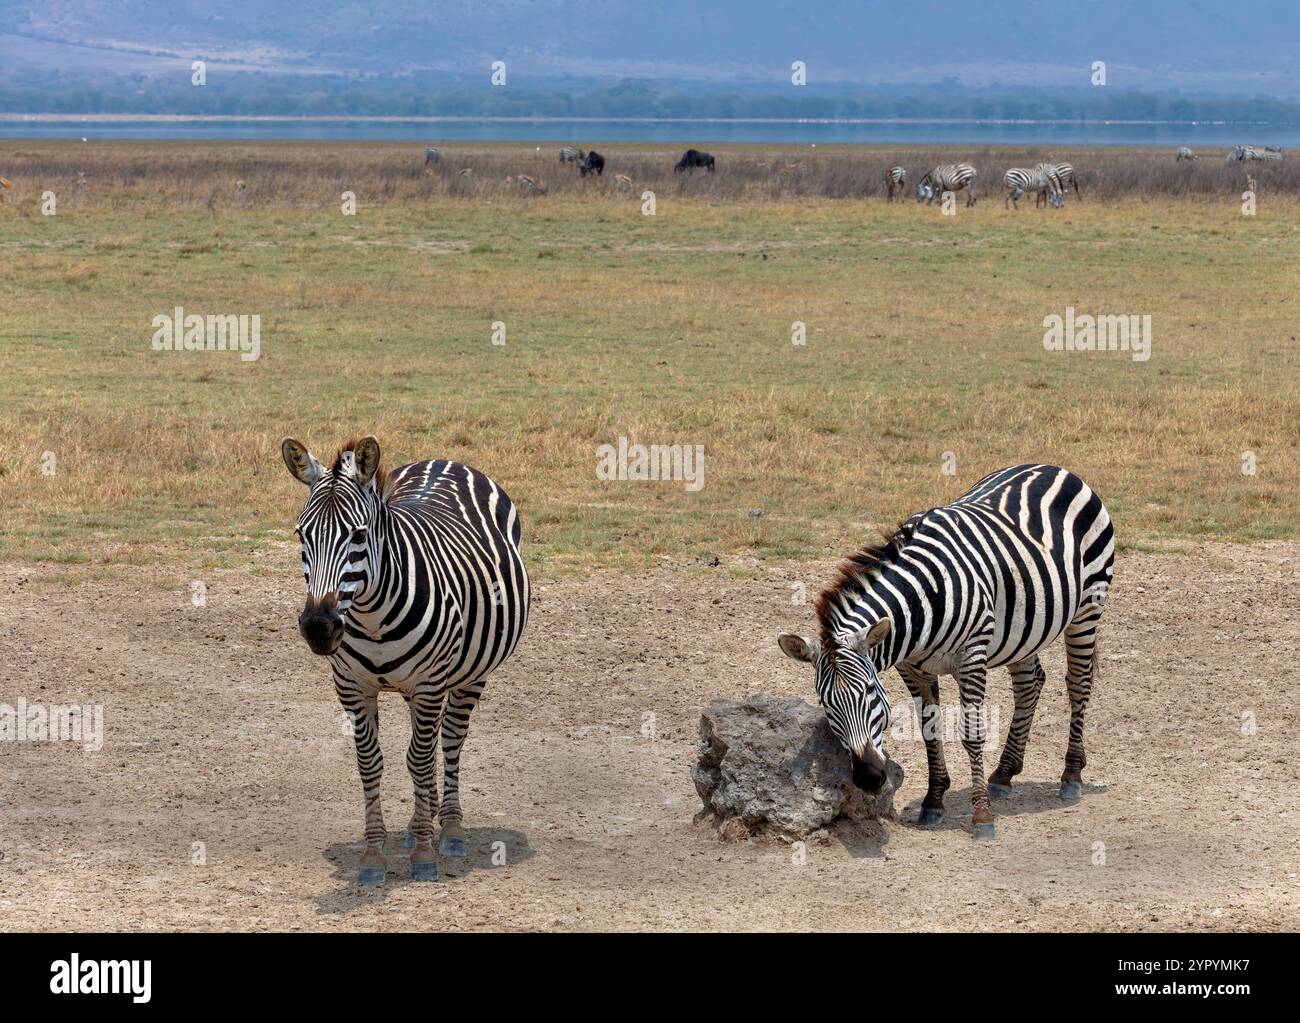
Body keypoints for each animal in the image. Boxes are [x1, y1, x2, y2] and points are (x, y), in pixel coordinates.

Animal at [282, 436, 530, 885]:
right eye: (301, 533)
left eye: (358, 534)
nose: (318, 627)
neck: (371, 616)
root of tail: (444, 459)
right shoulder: (352, 687)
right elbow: (370, 763)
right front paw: (374, 855)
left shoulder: (430, 683)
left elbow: (419, 759)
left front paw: (425, 855)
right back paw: (421, 823)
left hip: (471, 673)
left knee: (449, 740)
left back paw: (448, 830)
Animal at [778, 464, 1114, 839]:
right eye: (825, 703)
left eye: (869, 693)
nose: (868, 778)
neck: (920, 606)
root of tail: (1051, 467)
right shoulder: (912, 668)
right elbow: (929, 730)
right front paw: (934, 800)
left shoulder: (972, 656)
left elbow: (972, 734)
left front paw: (982, 816)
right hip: (1023, 627)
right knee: (1030, 683)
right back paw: (1004, 772)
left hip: (1089, 606)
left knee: (1078, 684)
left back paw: (1071, 775)